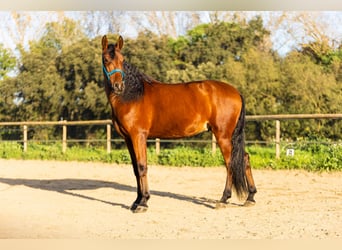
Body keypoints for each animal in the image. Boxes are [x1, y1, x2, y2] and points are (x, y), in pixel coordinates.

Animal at [101, 34, 256, 212]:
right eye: (106, 59)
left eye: (122, 60)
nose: (118, 86)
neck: (132, 95)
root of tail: (236, 92)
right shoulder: (128, 138)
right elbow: (135, 168)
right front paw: (137, 201)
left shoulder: (138, 136)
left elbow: (142, 167)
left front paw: (143, 202)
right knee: (244, 158)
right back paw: (250, 197)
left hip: (223, 136)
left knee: (230, 163)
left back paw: (223, 199)